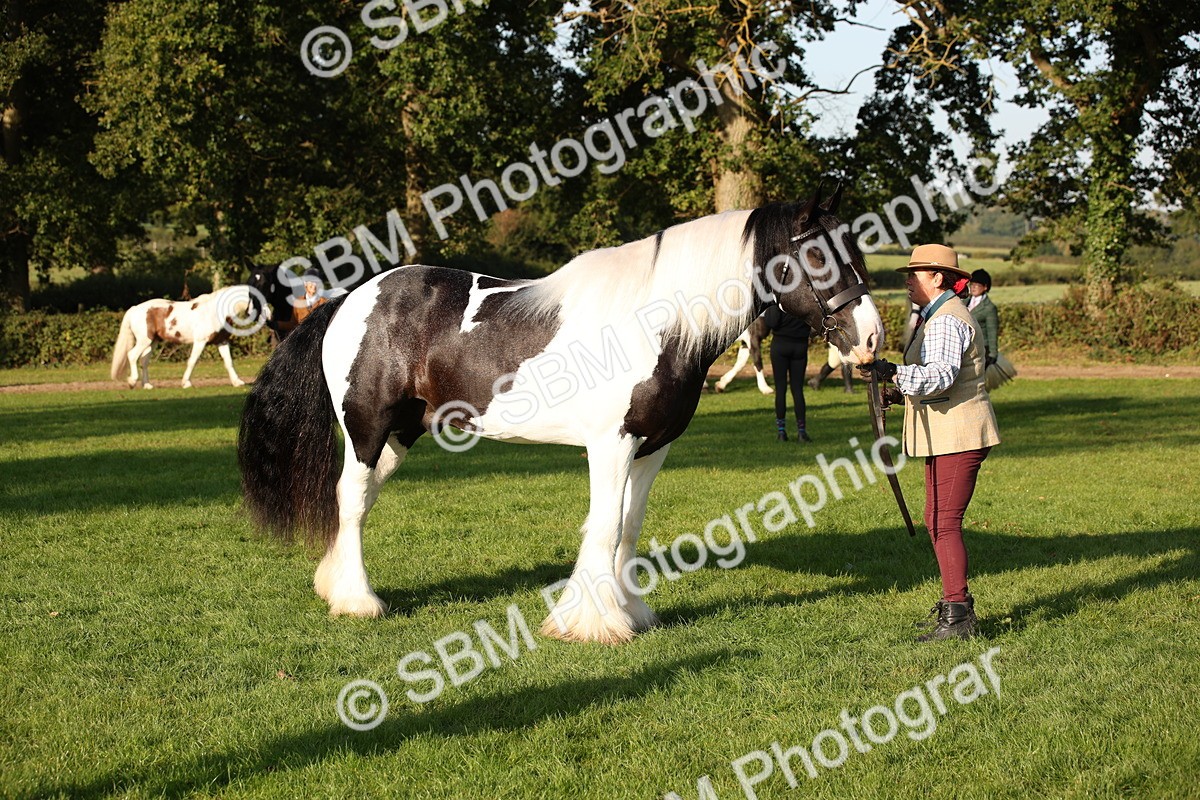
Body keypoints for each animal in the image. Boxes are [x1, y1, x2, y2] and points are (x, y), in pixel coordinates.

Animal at [110, 285, 265, 389]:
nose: (267, 316)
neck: (215, 311)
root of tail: (134, 309)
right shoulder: (200, 341)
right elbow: (192, 361)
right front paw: (186, 383)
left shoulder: (222, 341)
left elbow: (229, 362)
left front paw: (237, 382)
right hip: (144, 341)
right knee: (132, 355)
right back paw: (132, 381)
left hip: (152, 342)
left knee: (144, 361)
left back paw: (147, 385)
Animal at [238, 186, 884, 644]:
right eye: (817, 253)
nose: (872, 339)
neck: (657, 322)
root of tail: (349, 300)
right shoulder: (611, 444)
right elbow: (603, 527)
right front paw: (592, 624)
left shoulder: (653, 448)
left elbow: (629, 526)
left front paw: (632, 611)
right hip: (367, 429)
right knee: (349, 501)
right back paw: (358, 601)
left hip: (400, 435)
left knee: (360, 501)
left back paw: (335, 587)